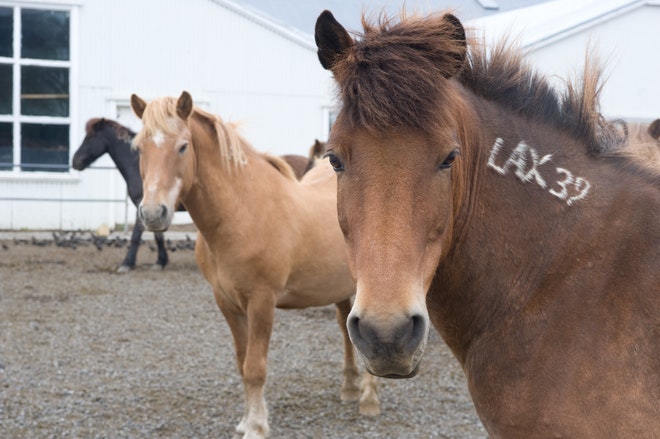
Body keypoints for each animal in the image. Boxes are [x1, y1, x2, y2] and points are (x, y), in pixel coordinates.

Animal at [71, 118, 314, 274]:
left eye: (89, 137)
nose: (75, 161)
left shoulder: (146, 206)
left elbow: (136, 236)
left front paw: (127, 264)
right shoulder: (154, 209)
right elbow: (157, 236)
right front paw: (161, 261)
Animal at [130, 91, 382, 438]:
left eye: (182, 146)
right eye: (139, 148)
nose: (154, 214)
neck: (242, 212)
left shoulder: (262, 302)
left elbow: (254, 367)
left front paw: (257, 426)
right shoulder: (227, 303)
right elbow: (241, 362)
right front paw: (245, 421)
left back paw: (369, 400)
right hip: (341, 289)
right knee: (346, 333)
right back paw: (349, 389)